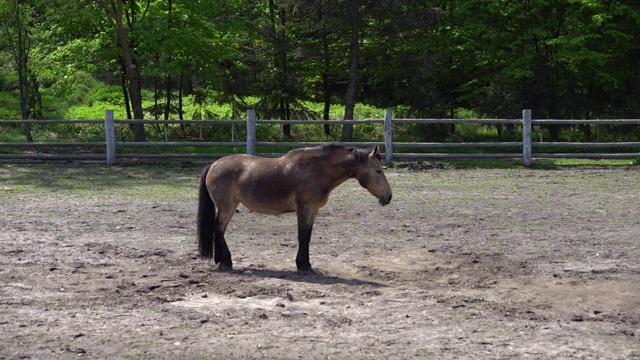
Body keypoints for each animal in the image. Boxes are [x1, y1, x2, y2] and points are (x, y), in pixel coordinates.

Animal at [198, 143, 392, 272]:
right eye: (378, 171)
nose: (388, 196)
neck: (317, 171)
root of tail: (213, 165)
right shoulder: (304, 209)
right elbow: (302, 236)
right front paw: (303, 265)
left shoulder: (313, 210)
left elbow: (308, 237)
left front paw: (306, 264)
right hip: (227, 207)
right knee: (219, 229)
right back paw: (226, 262)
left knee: (219, 230)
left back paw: (221, 260)